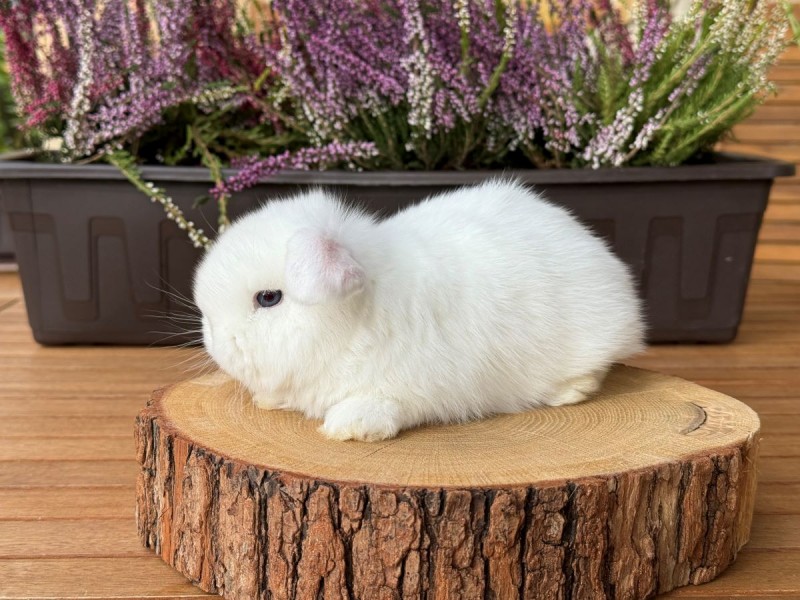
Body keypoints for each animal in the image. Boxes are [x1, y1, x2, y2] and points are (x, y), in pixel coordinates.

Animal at [193, 179, 645, 442]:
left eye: (268, 298)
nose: (214, 340)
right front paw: (267, 401)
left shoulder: (407, 389)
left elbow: (383, 406)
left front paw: (349, 428)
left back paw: (572, 390)